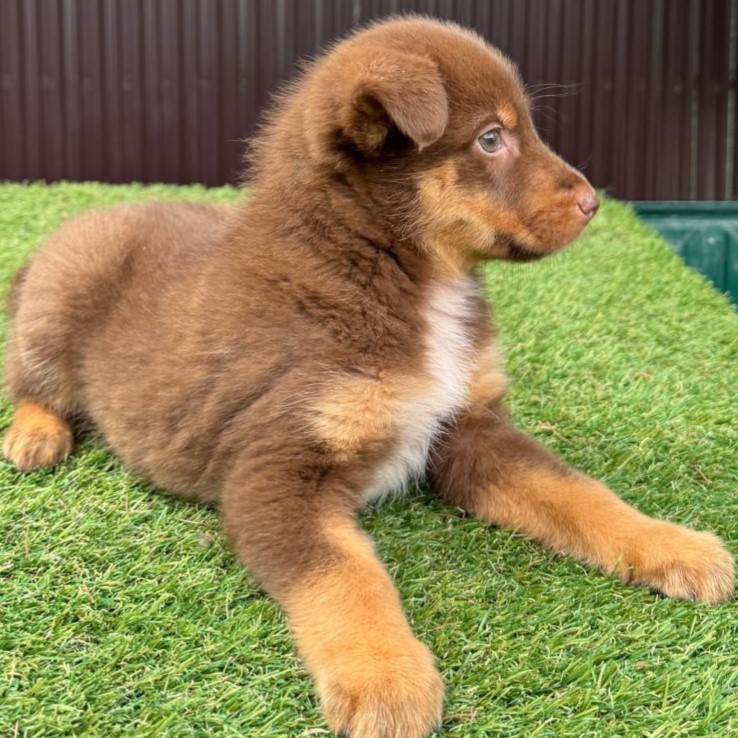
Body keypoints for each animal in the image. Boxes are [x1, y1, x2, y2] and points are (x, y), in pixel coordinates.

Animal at [3, 16, 734, 738]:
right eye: (490, 139)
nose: (592, 203)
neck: (401, 279)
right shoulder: (275, 468)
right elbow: (346, 576)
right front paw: (387, 679)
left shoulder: (470, 430)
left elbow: (578, 493)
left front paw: (674, 544)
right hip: (58, 306)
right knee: (28, 381)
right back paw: (35, 437)